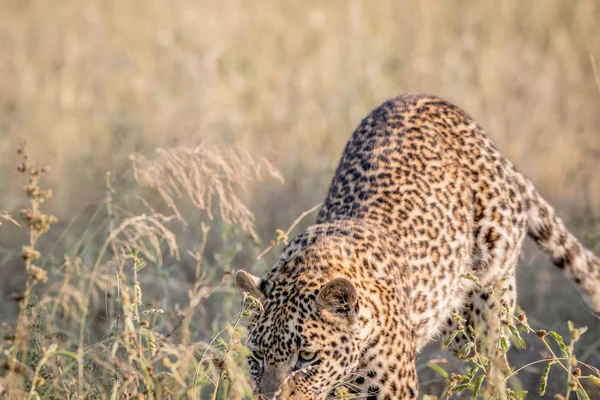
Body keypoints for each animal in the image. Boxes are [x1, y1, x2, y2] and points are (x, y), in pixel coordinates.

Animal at [234, 94, 600, 400]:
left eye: (307, 357)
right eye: (257, 356)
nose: (270, 399)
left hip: (488, 307)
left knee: (494, 368)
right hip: (454, 321)